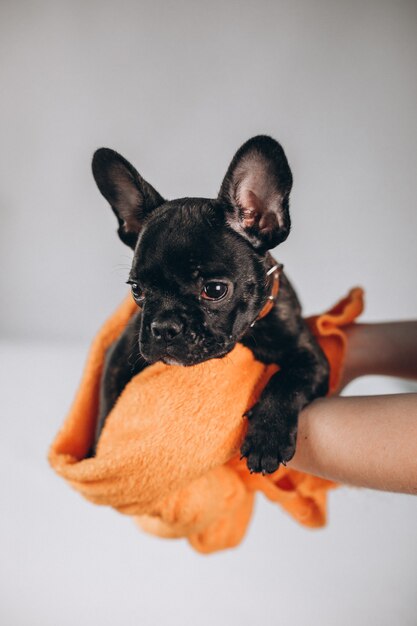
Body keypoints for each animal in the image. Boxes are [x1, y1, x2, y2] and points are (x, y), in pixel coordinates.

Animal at [91, 134, 328, 470]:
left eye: (214, 290)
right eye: (137, 290)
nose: (163, 327)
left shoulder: (310, 356)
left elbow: (288, 380)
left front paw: (267, 436)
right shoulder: (119, 352)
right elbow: (107, 408)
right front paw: (99, 451)